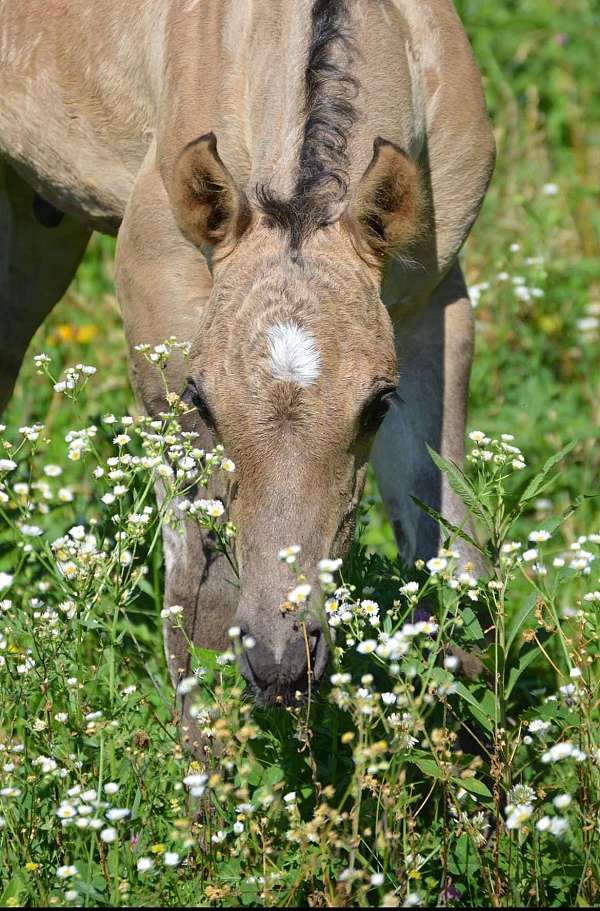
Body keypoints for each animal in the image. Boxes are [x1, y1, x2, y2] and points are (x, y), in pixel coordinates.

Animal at [0, 0, 494, 736]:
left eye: (377, 404)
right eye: (203, 400)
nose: (283, 659)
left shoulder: (431, 303)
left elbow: (448, 550)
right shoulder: (162, 298)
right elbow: (198, 585)